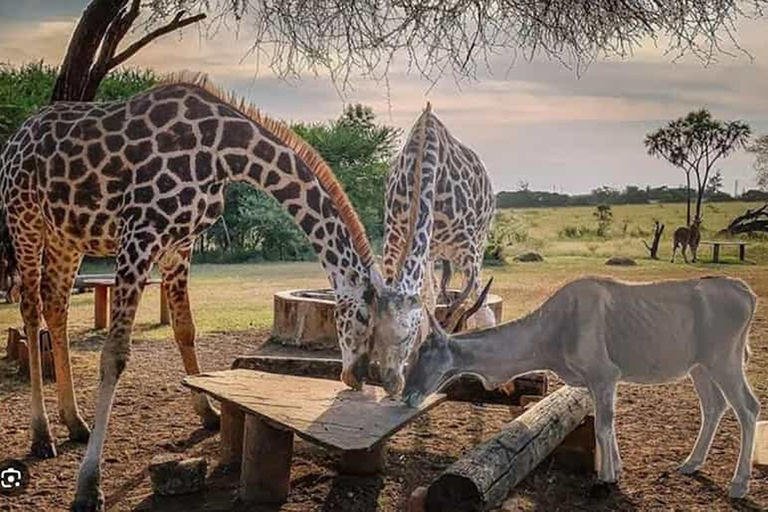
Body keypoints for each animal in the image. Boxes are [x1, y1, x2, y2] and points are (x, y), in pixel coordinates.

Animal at [0, 73, 384, 512]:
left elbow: (185, 329)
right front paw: (88, 487)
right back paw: (42, 435)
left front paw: (210, 412)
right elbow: (114, 355)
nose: (356, 375)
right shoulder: (140, 234)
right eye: (362, 316)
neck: (225, 154)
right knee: (31, 307)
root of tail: (14, 139)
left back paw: (75, 423)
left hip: (67, 235)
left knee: (56, 304)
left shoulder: (178, 245)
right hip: (25, 219)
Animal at [368, 103, 496, 392]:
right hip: (435, 252)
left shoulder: (468, 250)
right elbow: (427, 298)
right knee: (437, 289)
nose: (390, 382)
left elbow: (474, 306)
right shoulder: (395, 242)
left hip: (479, 241)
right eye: (374, 333)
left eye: (406, 336)